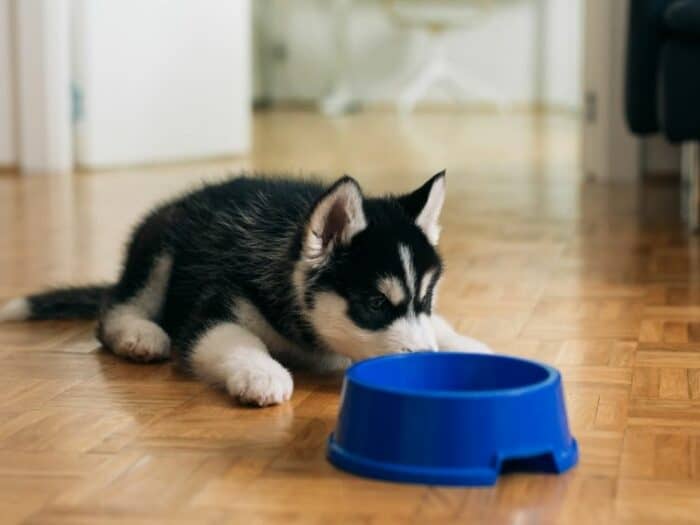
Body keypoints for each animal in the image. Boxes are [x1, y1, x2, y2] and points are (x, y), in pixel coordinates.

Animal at [0, 172, 490, 406]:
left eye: (425, 299)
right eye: (374, 303)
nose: (424, 359)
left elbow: (441, 327)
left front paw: (468, 345)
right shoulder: (214, 309)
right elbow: (235, 339)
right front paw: (262, 374)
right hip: (161, 245)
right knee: (115, 308)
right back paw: (139, 334)